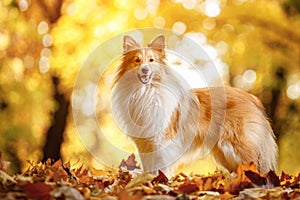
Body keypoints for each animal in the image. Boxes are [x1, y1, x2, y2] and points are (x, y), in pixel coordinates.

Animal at [111, 35, 278, 176]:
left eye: (151, 60)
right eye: (137, 60)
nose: (145, 69)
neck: (146, 92)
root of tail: (251, 97)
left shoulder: (162, 140)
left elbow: (162, 167)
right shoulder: (144, 144)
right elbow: (150, 168)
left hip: (238, 146)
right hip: (224, 153)